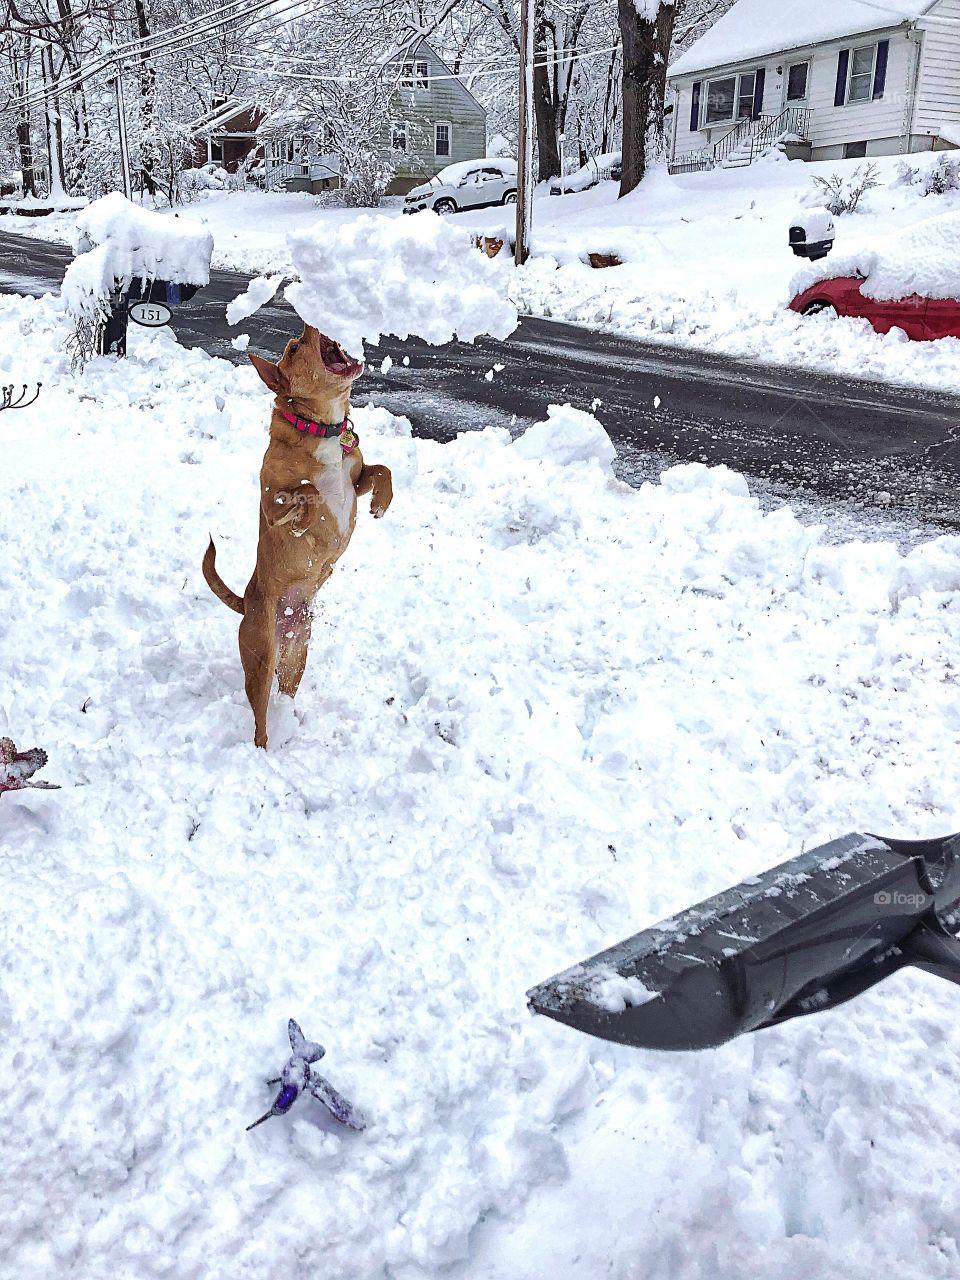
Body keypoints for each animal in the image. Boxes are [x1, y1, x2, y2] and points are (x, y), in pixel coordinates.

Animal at [204, 325, 391, 747]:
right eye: (293, 348)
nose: (311, 325)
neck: (323, 427)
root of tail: (247, 603)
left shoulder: (356, 480)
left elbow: (381, 469)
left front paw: (382, 503)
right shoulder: (270, 499)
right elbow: (307, 489)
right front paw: (303, 521)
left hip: (296, 654)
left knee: (286, 689)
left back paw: (289, 720)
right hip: (261, 658)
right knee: (259, 716)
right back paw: (262, 749)